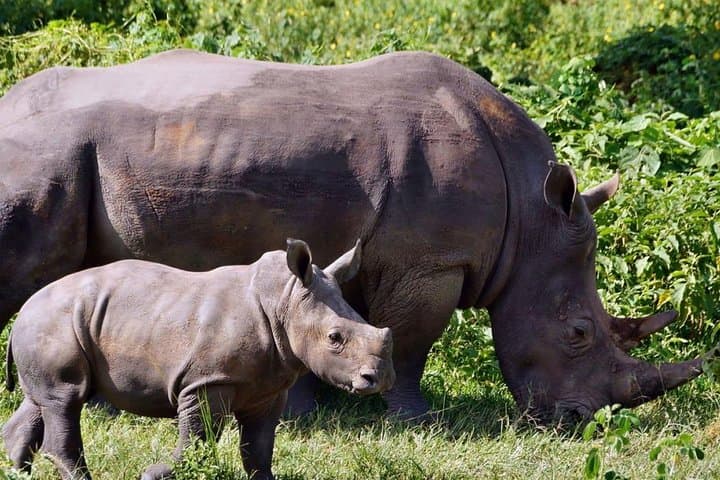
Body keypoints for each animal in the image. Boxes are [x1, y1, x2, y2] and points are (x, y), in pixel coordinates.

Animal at [0, 49, 709, 421]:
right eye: (579, 333)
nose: (583, 422)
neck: (531, 221)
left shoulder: (372, 255)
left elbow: (339, 325)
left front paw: (308, 408)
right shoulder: (431, 261)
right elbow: (414, 338)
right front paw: (416, 418)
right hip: (45, 152)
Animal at [3, 239, 394, 480]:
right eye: (335, 338)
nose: (380, 378)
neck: (285, 301)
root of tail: (24, 309)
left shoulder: (267, 387)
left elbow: (258, 446)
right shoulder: (208, 380)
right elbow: (199, 435)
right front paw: (157, 473)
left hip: (53, 324)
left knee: (44, 401)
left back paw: (16, 472)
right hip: (54, 321)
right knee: (66, 399)